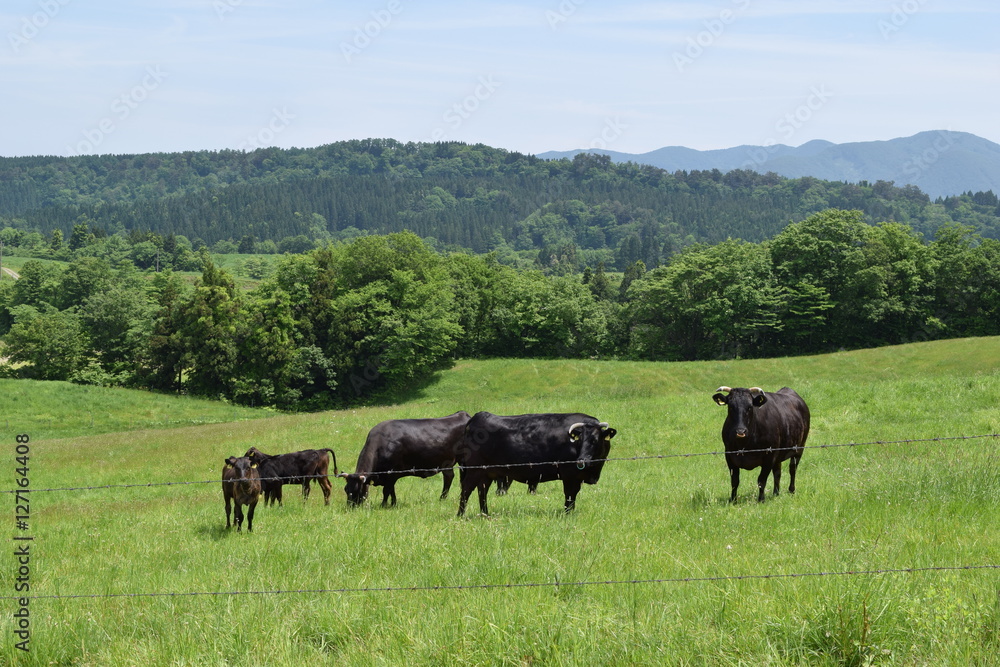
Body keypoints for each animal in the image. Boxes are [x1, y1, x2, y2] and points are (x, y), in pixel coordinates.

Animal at [342, 410, 470, 508]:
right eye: (346, 489)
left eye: (358, 490)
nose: (351, 507)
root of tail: (462, 414)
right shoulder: (389, 477)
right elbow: (392, 491)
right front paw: (393, 504)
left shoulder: (391, 474)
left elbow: (386, 491)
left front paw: (383, 505)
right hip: (447, 463)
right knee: (449, 477)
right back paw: (443, 498)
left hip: (464, 460)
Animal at [456, 412, 612, 516]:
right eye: (580, 440)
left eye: (595, 440)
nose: (582, 460)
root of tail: (478, 416)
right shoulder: (569, 475)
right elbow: (570, 495)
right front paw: (567, 514)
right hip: (474, 470)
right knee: (466, 489)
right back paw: (460, 515)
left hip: (486, 472)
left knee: (482, 490)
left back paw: (485, 514)